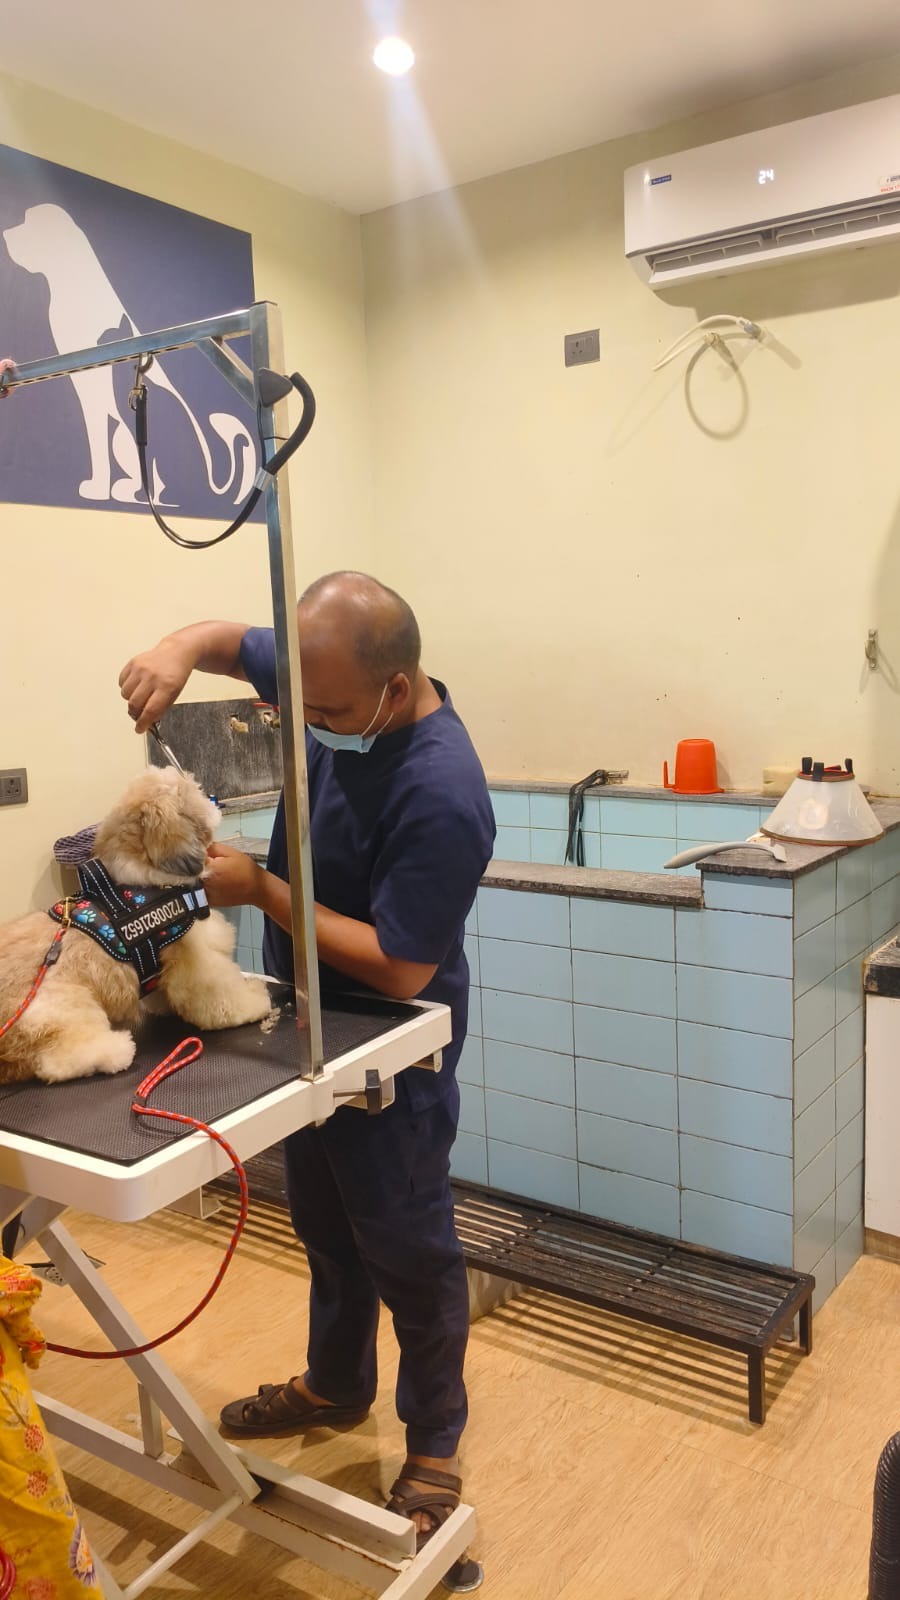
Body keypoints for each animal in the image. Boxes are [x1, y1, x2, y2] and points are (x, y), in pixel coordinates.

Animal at [0, 768, 271, 1085]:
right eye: (194, 793)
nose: (214, 802)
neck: (147, 887)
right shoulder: (200, 963)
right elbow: (224, 998)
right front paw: (255, 1000)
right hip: (62, 1006)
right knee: (59, 1059)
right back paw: (116, 1050)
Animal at [2, 203, 256, 506]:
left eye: (30, 223)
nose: (5, 233)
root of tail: (208, 481)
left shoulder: (94, 392)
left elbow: (98, 442)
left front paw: (98, 487)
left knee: (158, 484)